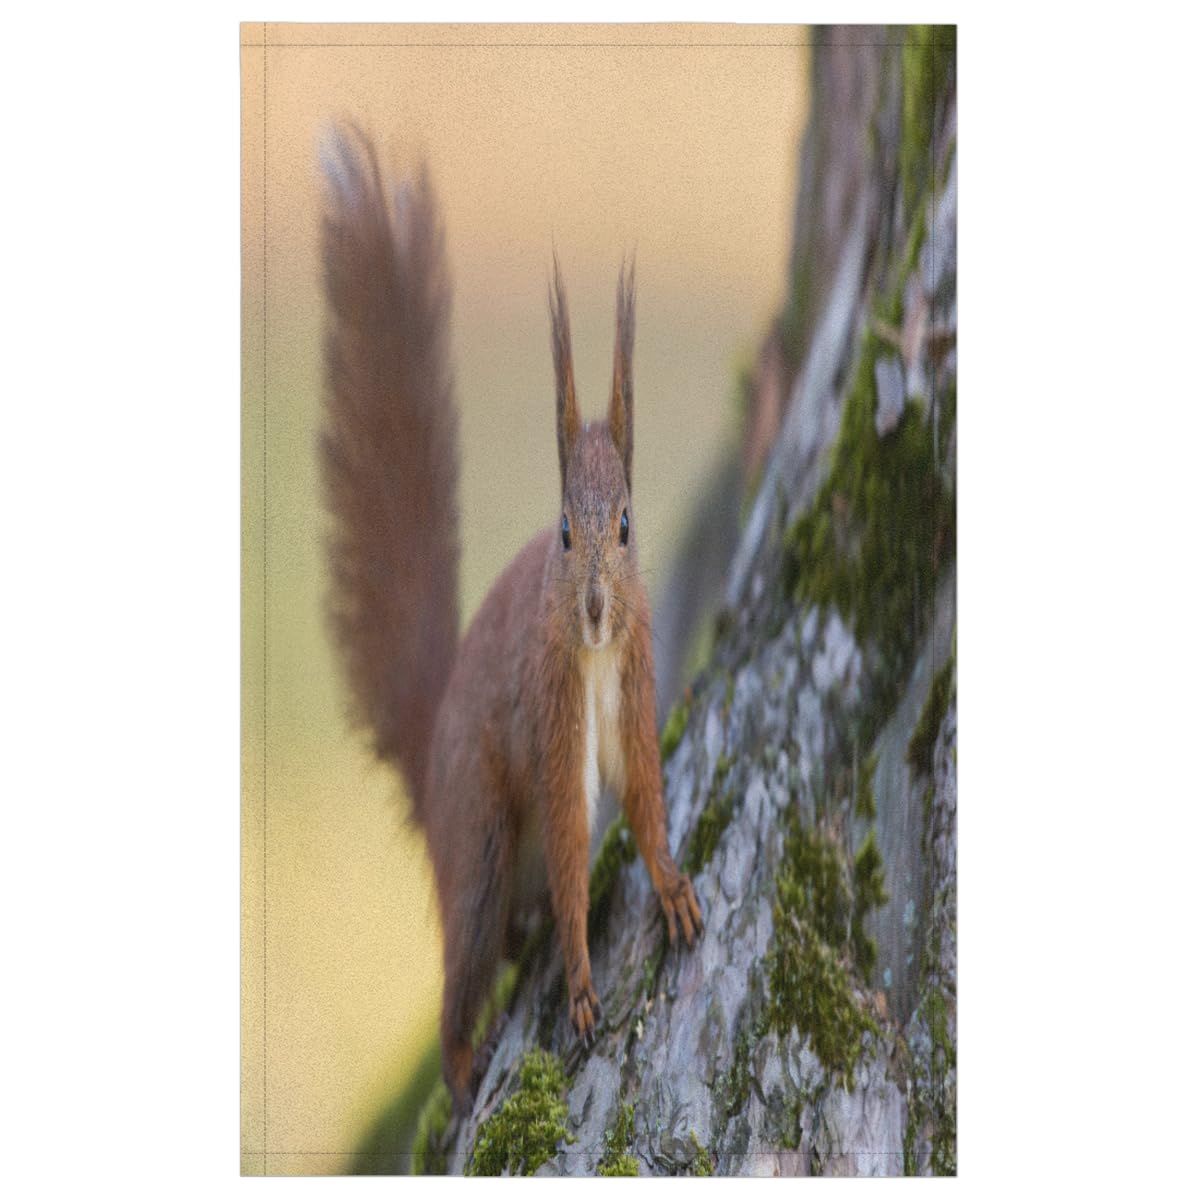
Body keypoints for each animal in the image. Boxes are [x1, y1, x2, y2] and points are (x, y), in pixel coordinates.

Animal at [319, 126, 702, 1115]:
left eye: (627, 525)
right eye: (565, 530)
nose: (598, 609)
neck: (596, 654)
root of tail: (429, 767)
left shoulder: (638, 676)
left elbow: (643, 795)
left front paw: (672, 885)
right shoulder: (550, 702)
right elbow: (572, 844)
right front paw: (581, 979)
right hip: (482, 833)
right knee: (468, 958)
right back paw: (464, 1059)